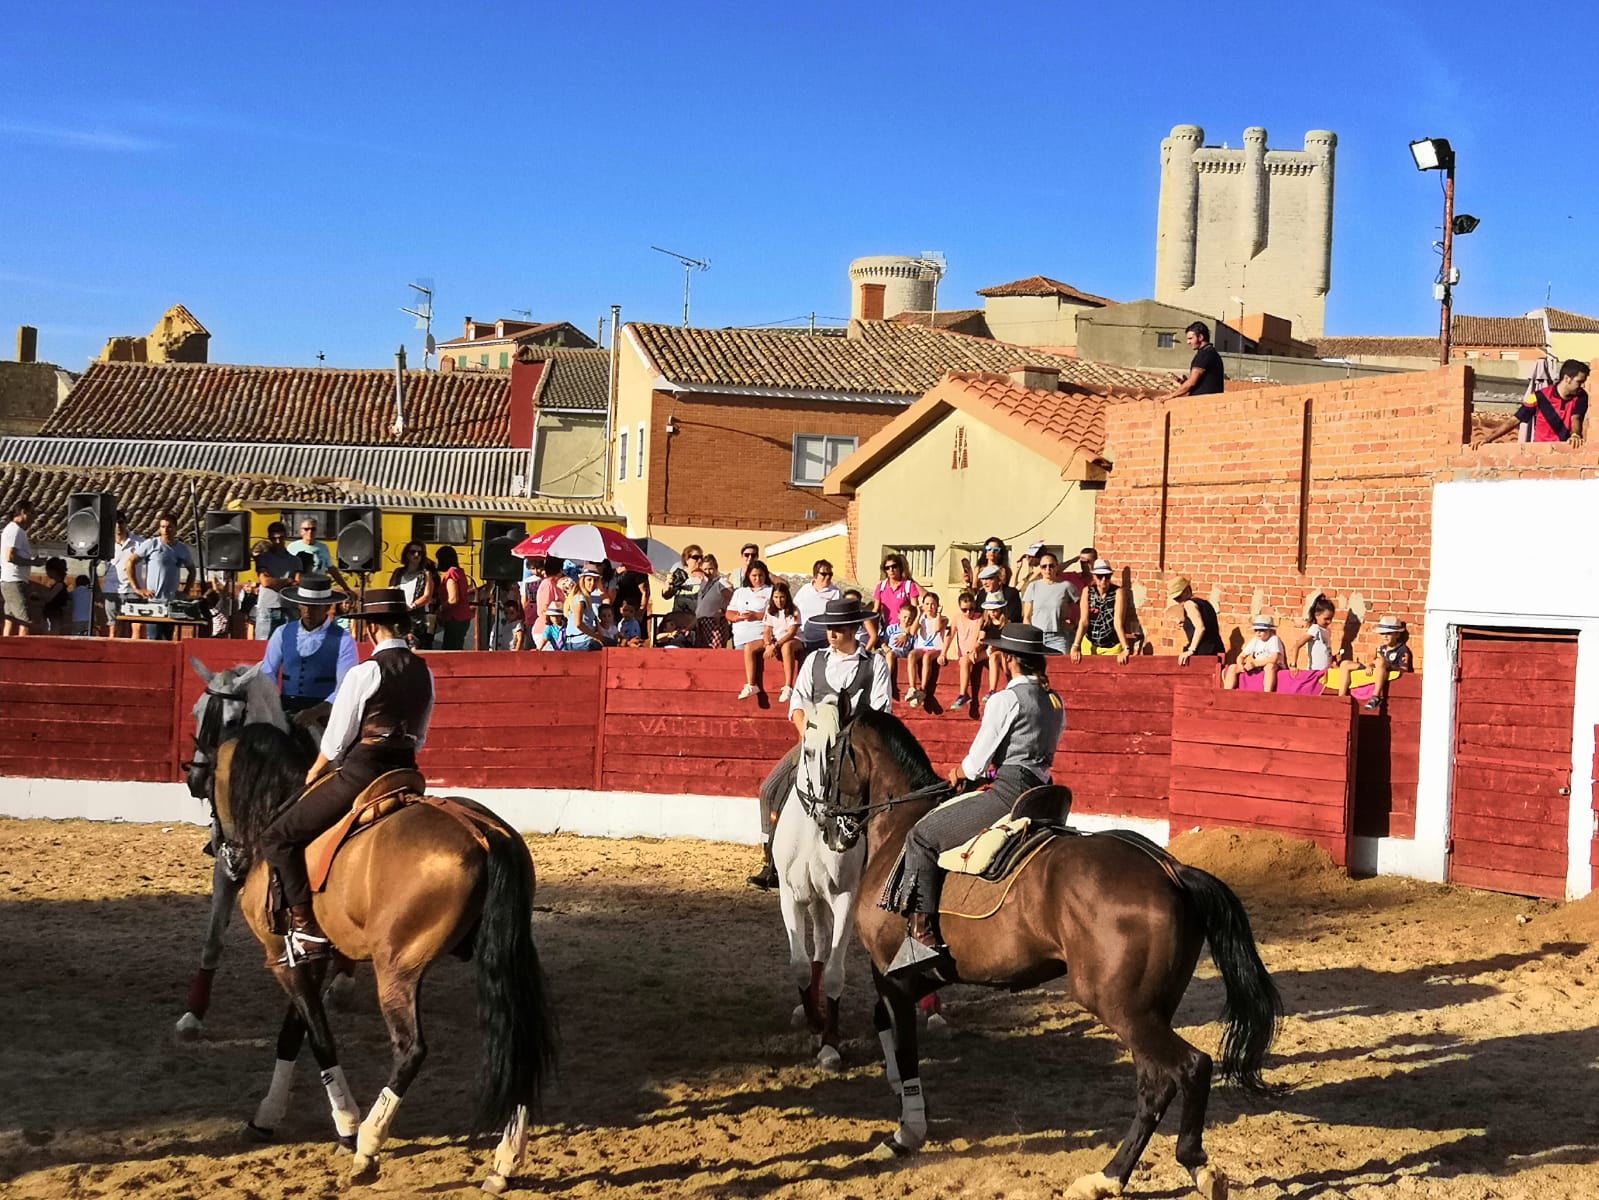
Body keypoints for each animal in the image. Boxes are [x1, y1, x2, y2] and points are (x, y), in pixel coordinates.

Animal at [189, 662, 556, 1196]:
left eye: (221, 720)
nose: (194, 778)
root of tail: (486, 835)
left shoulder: (282, 958)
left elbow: (318, 1037)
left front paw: (344, 1125)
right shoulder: (310, 957)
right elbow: (293, 1034)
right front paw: (268, 1116)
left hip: (397, 970)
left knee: (410, 1049)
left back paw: (368, 1145)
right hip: (507, 957)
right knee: (519, 1038)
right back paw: (504, 1161)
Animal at [831, 710, 1279, 1200]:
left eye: (831, 752)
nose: (826, 816)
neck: (899, 830)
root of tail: (1171, 870)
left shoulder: (892, 977)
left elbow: (904, 1045)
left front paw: (905, 1132)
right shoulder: (910, 980)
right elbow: (887, 1029)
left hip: (1122, 1008)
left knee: (1190, 1067)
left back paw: (1184, 1164)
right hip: (1149, 1010)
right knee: (1156, 1085)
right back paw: (1113, 1176)